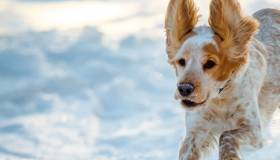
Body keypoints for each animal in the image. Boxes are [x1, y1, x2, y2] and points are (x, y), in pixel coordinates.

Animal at [164, 0, 280, 159]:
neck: (220, 98)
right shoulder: (196, 130)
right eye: (181, 61)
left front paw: (229, 155)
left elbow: (226, 135)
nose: (184, 89)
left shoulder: (253, 131)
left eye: (210, 63)